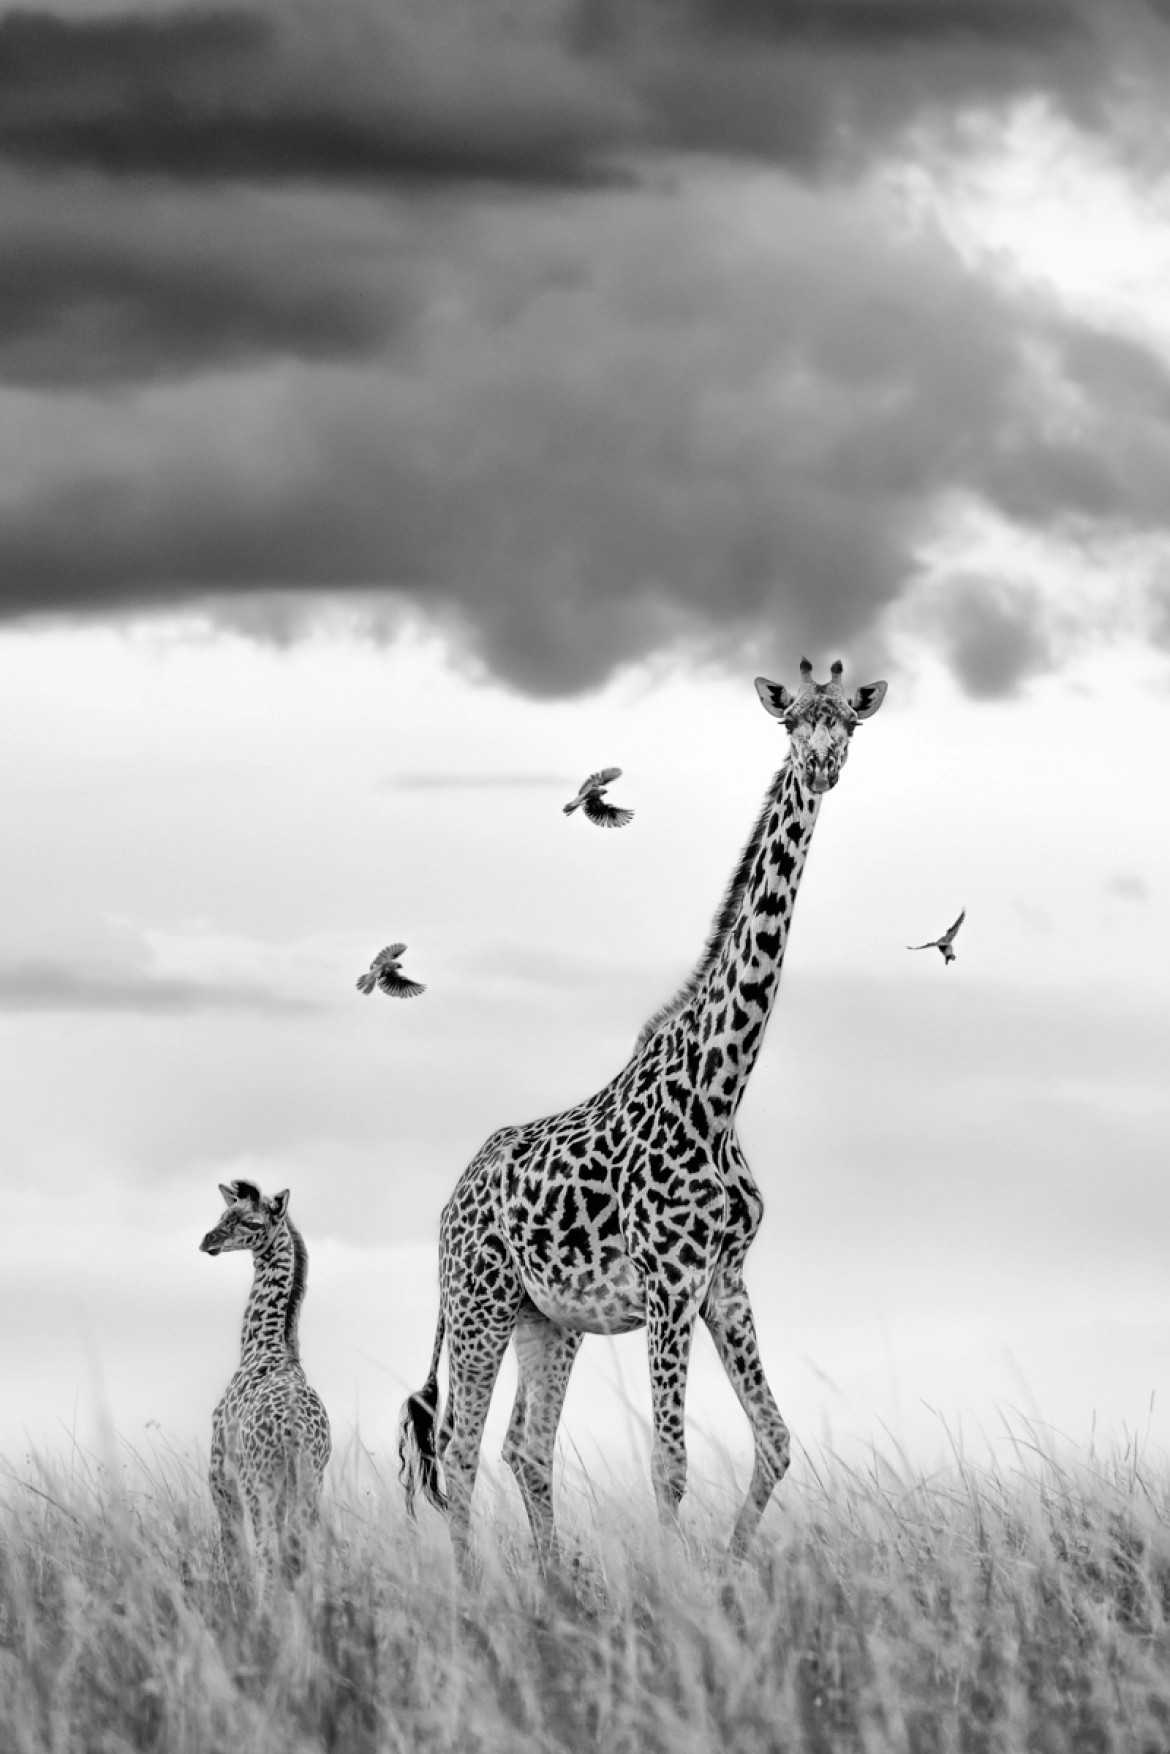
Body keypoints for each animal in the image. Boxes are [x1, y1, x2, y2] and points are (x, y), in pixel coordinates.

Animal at [199, 1178, 331, 1592]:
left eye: (253, 1223)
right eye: (224, 1213)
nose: (207, 1240)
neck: (262, 1344)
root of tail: (294, 1429)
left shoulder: (220, 1475)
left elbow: (233, 1556)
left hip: (261, 1484)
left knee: (268, 1557)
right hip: (309, 1482)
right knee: (304, 1558)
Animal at [403, 659, 887, 1564]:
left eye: (850, 719)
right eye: (790, 721)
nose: (821, 765)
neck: (719, 1090)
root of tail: (450, 1204)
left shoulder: (724, 1280)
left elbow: (777, 1442)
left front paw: (728, 1576)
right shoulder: (669, 1285)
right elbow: (670, 1462)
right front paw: (675, 1585)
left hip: (547, 1319)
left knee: (526, 1446)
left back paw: (554, 1579)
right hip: (480, 1303)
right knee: (458, 1450)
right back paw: (474, 1584)